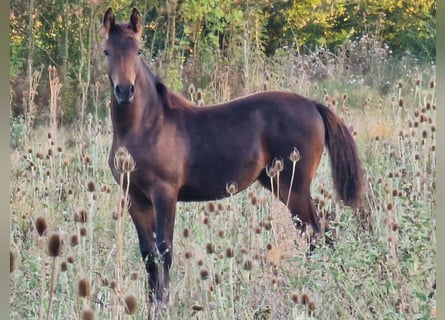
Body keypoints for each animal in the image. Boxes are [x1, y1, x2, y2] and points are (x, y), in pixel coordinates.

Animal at [102, 7, 362, 302]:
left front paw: (164, 304)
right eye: (107, 51)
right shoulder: (134, 197)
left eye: (139, 50)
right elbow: (148, 254)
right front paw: (150, 304)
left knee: (313, 231)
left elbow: (165, 251)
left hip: (294, 186)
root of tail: (313, 105)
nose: (125, 91)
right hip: (278, 183)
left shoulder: (164, 193)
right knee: (324, 229)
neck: (147, 125)